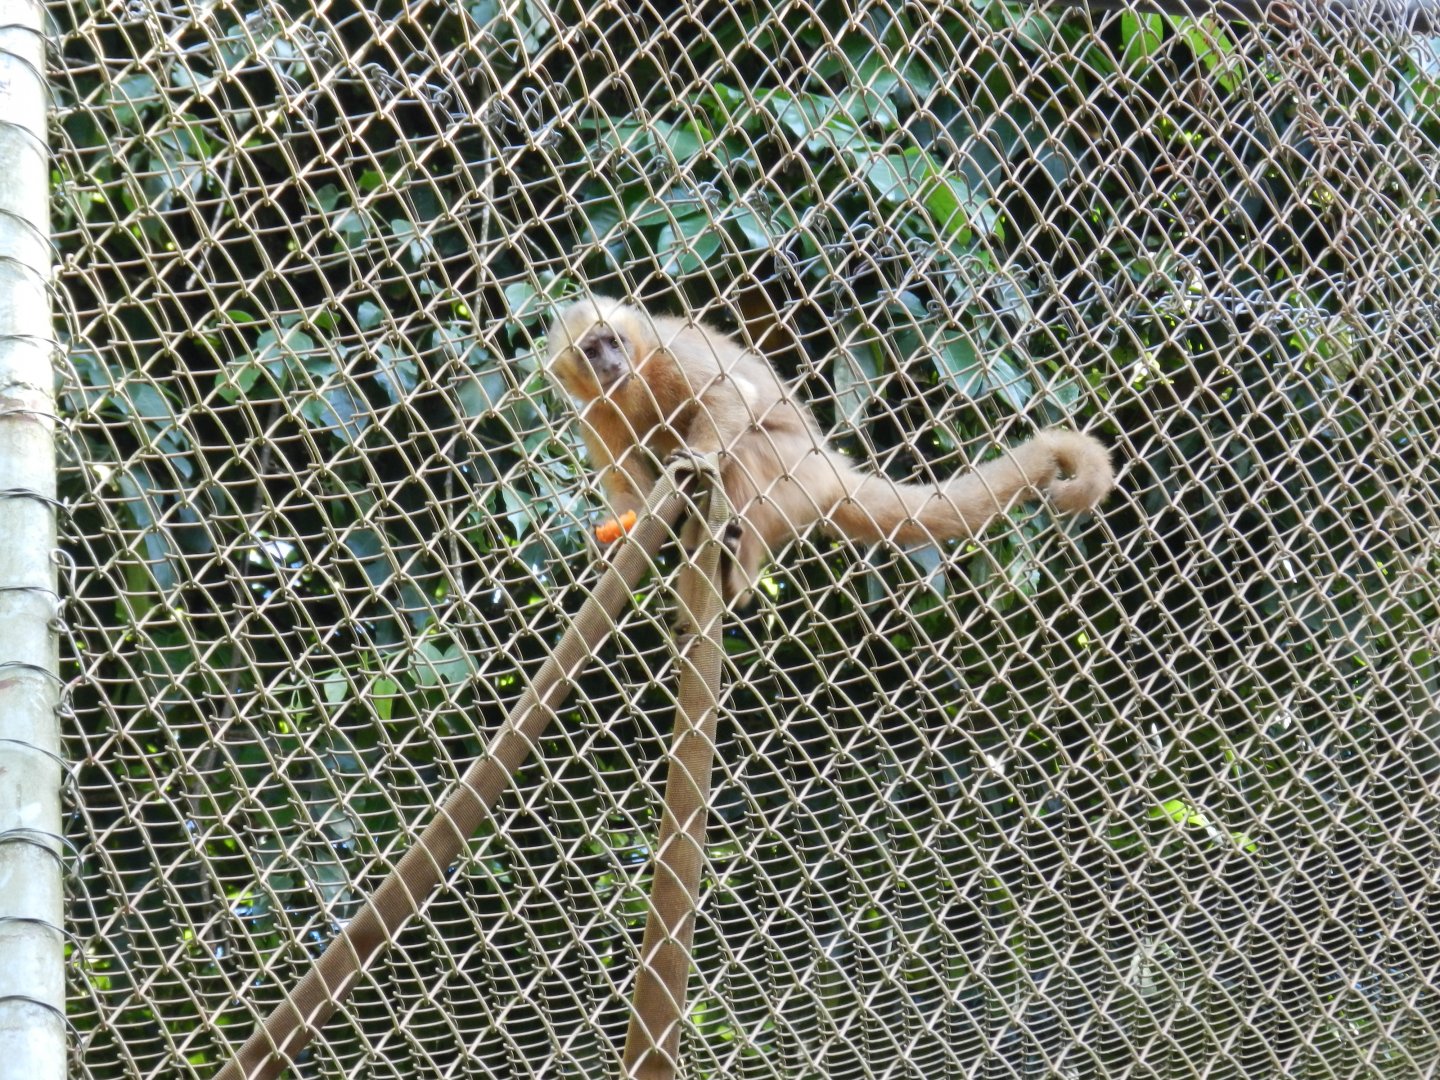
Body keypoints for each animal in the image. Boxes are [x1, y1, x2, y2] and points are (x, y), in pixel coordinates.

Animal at [544, 295, 1114, 604]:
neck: (634, 380)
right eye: (591, 350)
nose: (611, 363)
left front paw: (700, 458)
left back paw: (738, 575)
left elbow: (732, 395)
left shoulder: (664, 354)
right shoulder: (593, 412)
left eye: (615, 341)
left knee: (748, 449)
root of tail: (829, 466)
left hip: (792, 471)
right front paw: (618, 535)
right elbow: (628, 484)